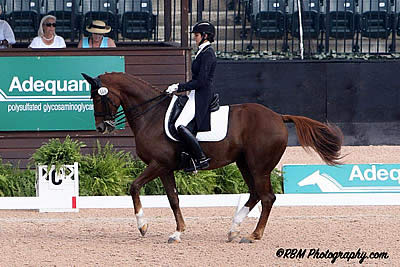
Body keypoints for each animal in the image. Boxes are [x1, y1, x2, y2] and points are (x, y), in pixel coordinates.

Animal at [83, 72, 342, 244]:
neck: (152, 114)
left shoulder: (159, 164)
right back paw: (233, 229)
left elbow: (134, 187)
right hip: (244, 164)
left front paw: (143, 226)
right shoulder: (166, 168)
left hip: (259, 167)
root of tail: (278, 116)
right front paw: (177, 232)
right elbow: (173, 199)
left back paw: (253, 235)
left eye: (98, 97)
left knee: (267, 197)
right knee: (255, 194)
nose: (101, 128)